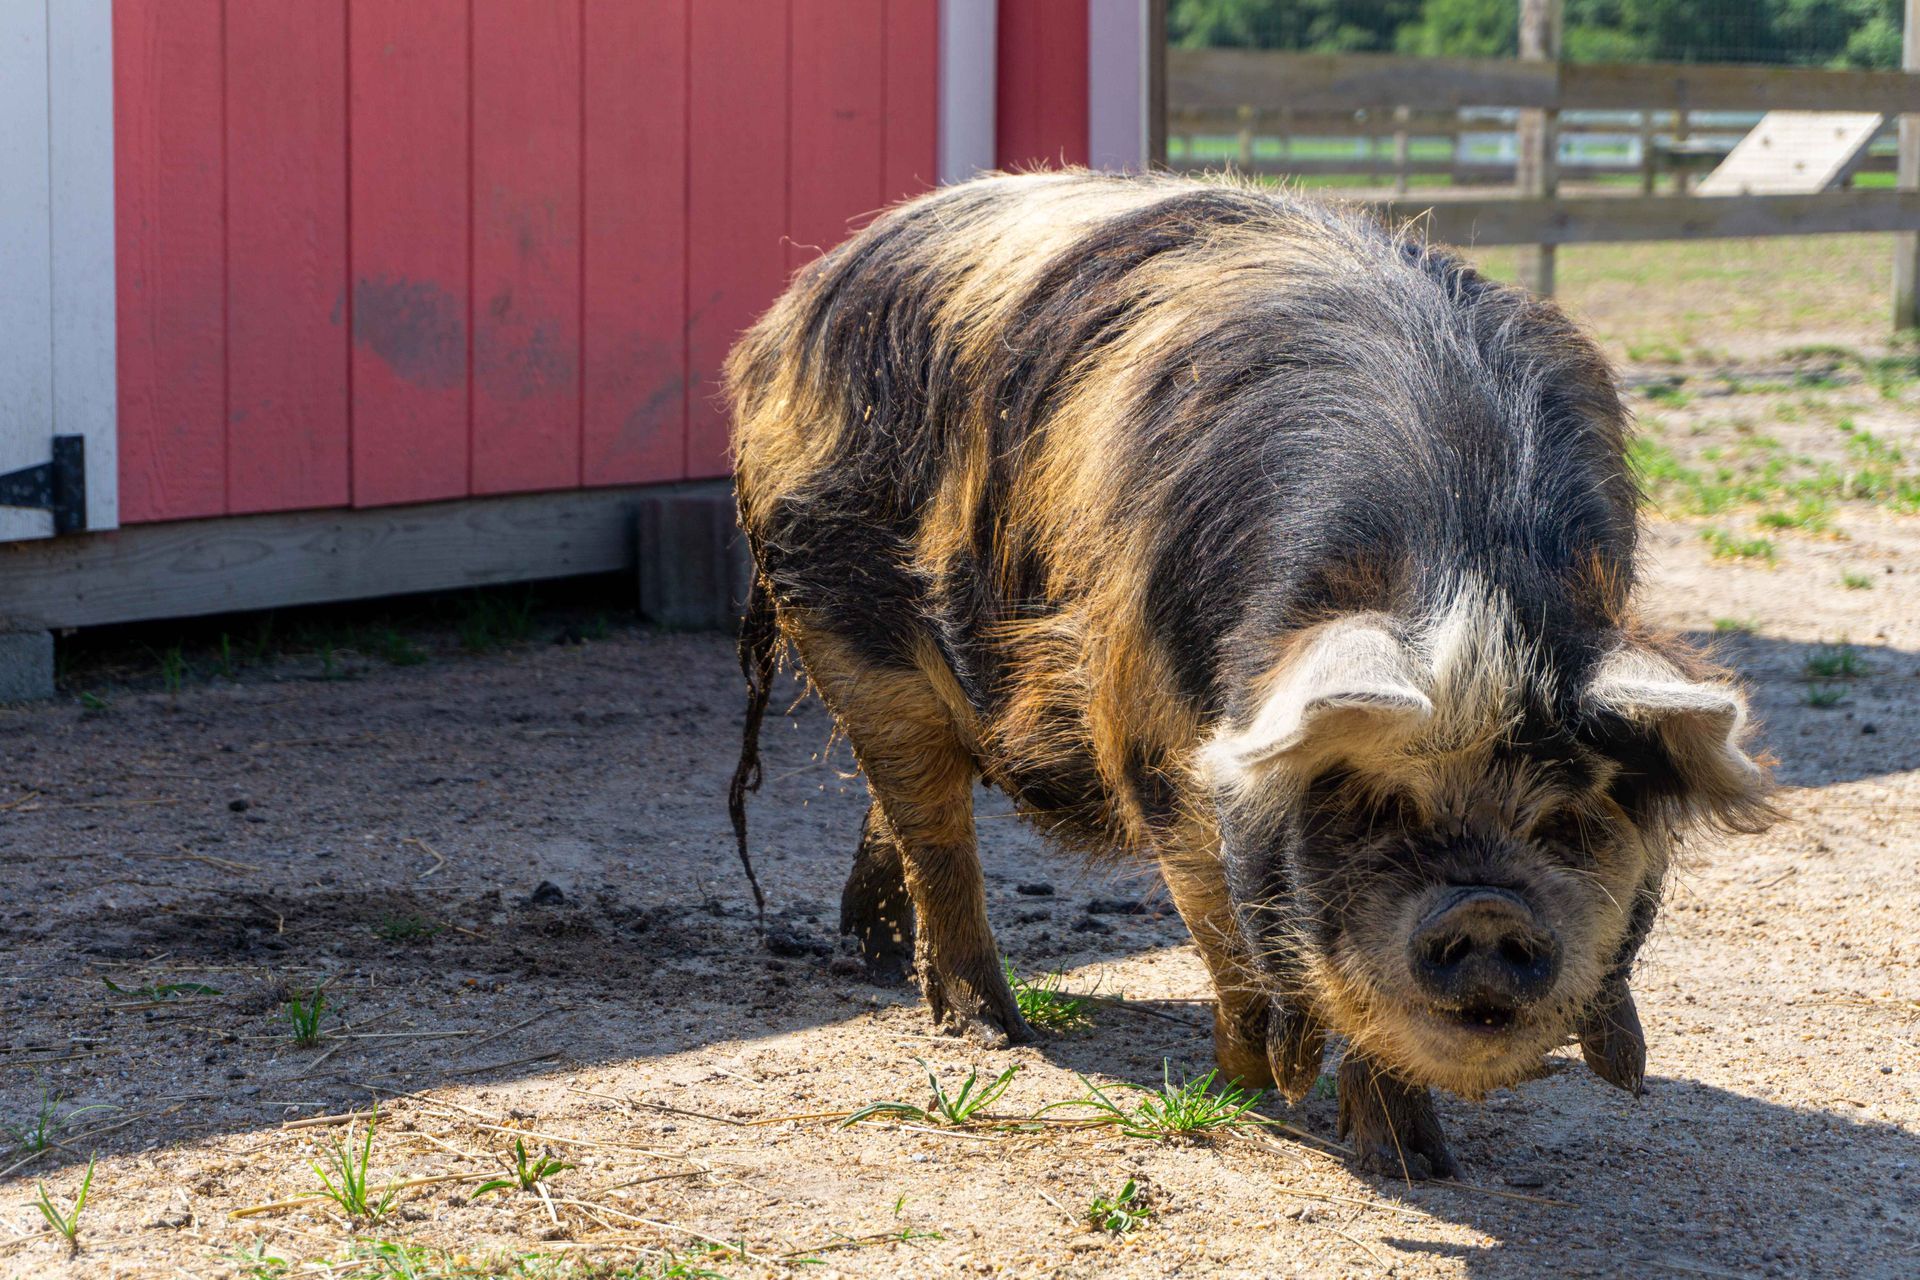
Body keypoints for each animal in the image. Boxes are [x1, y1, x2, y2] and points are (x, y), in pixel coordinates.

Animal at [724, 171, 1775, 1177]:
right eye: (1374, 807)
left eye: (1569, 817)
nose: (1486, 907)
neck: (1465, 571)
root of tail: (800, 301)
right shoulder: (1152, 730)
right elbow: (1220, 922)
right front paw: (1245, 1086)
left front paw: (1419, 1167)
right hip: (839, 611)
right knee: (931, 818)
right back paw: (989, 1031)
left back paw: (872, 959)